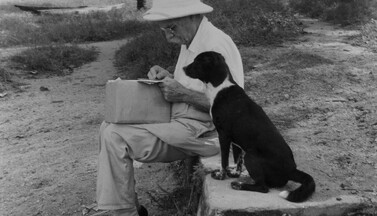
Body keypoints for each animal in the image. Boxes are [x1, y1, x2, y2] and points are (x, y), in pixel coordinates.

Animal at [182, 51, 314, 202]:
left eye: (198, 61)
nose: (183, 68)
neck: (220, 87)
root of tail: (291, 169)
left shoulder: (224, 135)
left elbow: (224, 160)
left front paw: (221, 175)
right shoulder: (236, 141)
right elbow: (237, 159)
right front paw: (234, 173)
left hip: (250, 156)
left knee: (263, 188)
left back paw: (239, 185)